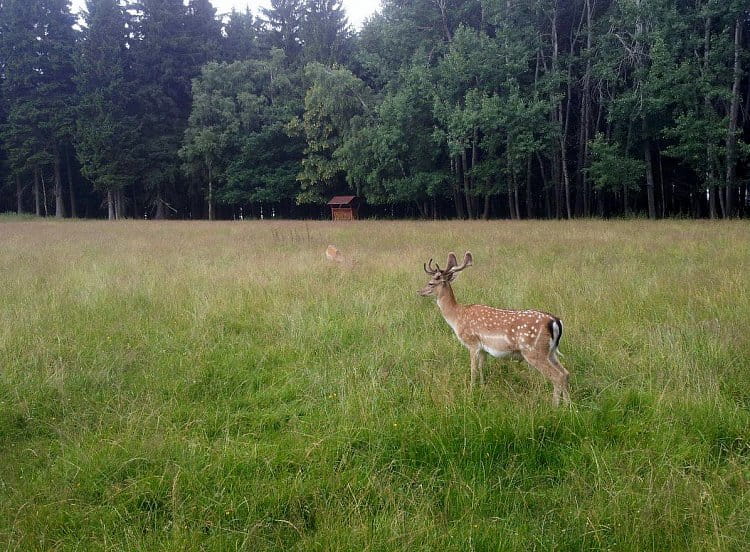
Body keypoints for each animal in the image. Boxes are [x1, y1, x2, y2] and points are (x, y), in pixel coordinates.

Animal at [420, 251, 572, 406]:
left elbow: (473, 369)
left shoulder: (472, 343)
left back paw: (555, 405)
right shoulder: (483, 348)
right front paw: (482, 387)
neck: (457, 317)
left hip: (534, 351)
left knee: (557, 376)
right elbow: (482, 367)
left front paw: (470, 392)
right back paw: (568, 405)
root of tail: (555, 321)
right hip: (550, 351)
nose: (420, 291)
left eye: (431, 283)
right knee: (565, 373)